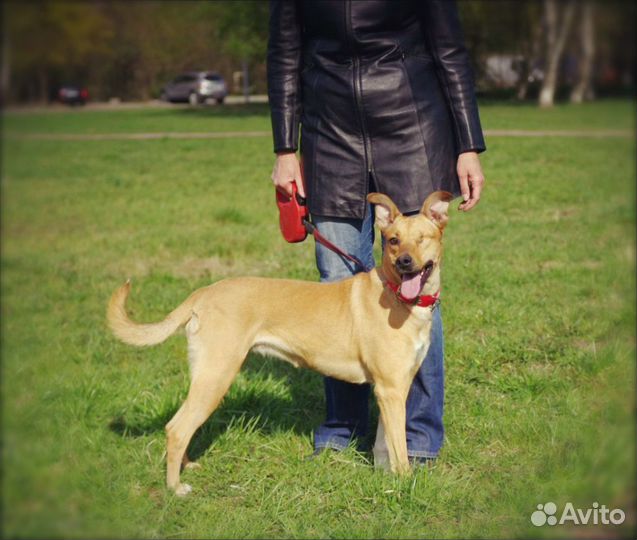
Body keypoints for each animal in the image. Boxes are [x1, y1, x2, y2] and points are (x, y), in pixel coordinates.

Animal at [107, 191, 452, 498]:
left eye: (422, 238)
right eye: (393, 240)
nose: (405, 262)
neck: (398, 297)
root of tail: (202, 293)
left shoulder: (390, 389)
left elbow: (386, 444)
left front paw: (387, 477)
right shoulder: (391, 389)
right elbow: (400, 449)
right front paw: (405, 483)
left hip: (205, 376)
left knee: (182, 425)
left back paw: (186, 467)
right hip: (217, 375)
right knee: (176, 428)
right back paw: (175, 488)